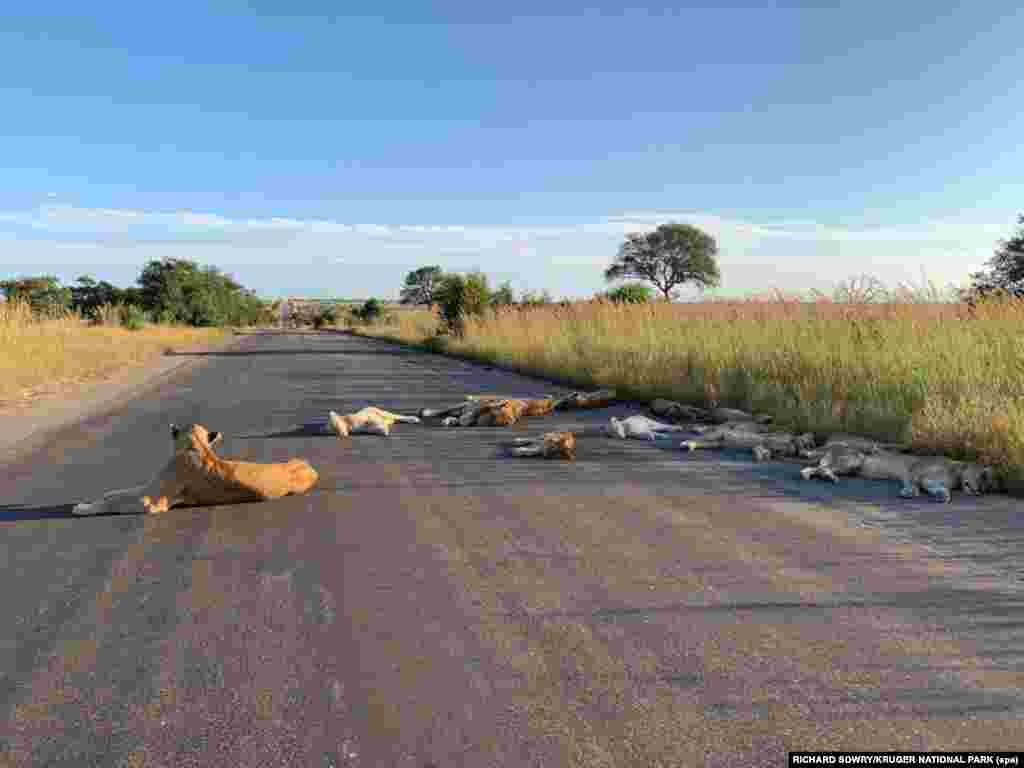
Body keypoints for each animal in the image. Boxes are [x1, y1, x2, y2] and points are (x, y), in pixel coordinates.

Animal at [73, 428, 319, 518]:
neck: (199, 447)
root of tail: (311, 470)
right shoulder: (147, 490)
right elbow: (114, 493)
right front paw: (89, 501)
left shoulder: (152, 502)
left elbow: (113, 501)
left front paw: (82, 508)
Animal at [794, 444, 995, 505]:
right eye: (980, 475)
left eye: (984, 481)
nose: (979, 491)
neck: (957, 471)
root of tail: (833, 445)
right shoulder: (914, 471)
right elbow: (912, 485)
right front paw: (908, 492)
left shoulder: (930, 481)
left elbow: (941, 490)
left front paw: (943, 497)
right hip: (855, 459)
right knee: (820, 468)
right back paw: (830, 477)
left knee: (809, 470)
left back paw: (822, 476)